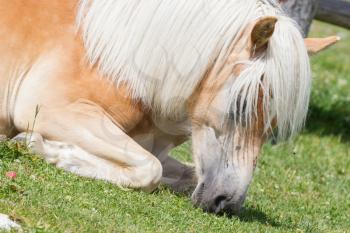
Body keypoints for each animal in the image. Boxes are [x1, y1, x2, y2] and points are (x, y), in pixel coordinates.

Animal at [0, 0, 340, 215]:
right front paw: (42, 147)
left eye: (273, 124)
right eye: (240, 105)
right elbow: (150, 168)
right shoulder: (53, 108)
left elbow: (179, 172)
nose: (226, 203)